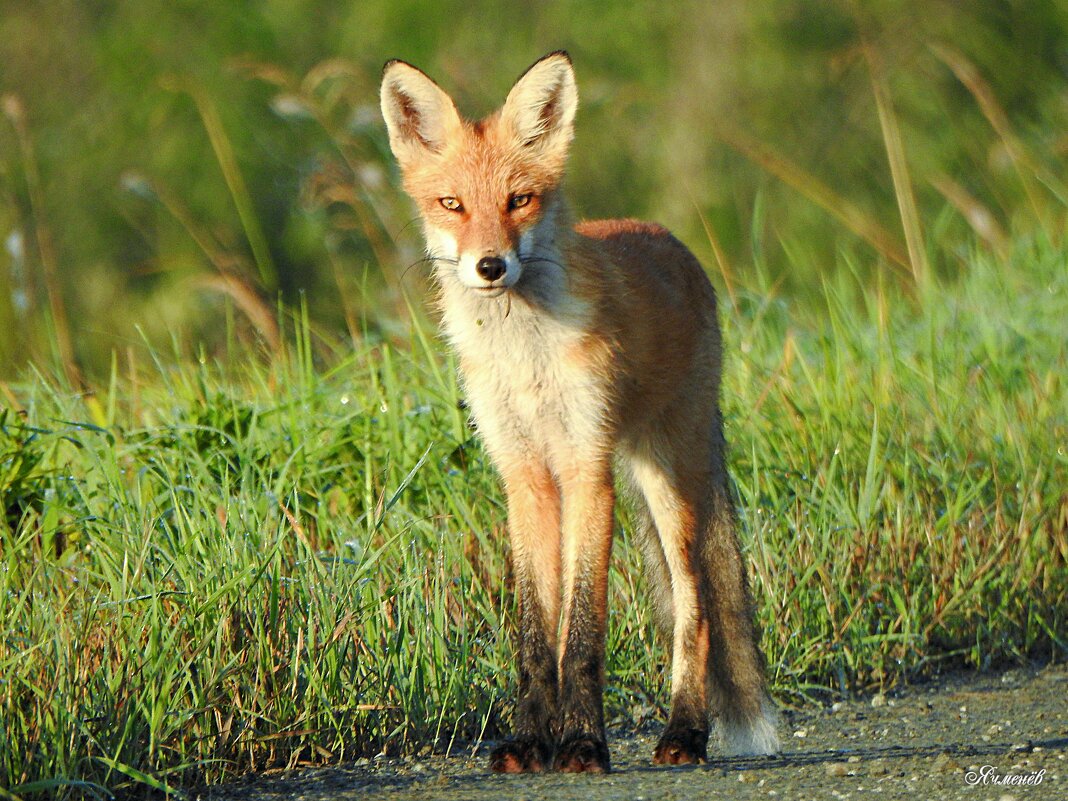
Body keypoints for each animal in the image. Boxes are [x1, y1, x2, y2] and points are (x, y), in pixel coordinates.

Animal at [380, 51, 781, 777]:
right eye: (453, 204)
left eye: (519, 200)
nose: (490, 265)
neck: (524, 355)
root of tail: (674, 243)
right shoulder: (525, 476)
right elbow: (538, 637)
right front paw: (530, 741)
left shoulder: (587, 467)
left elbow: (585, 633)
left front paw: (584, 743)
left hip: (669, 478)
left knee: (697, 607)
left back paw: (685, 732)